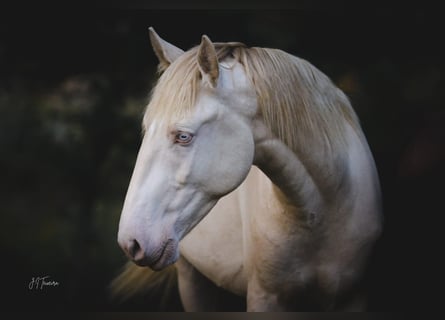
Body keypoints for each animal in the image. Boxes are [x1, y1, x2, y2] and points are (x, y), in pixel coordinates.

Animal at [112, 28, 382, 312]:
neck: (322, 212)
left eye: (183, 136)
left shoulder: (352, 298)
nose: (131, 242)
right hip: (190, 277)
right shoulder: (265, 297)